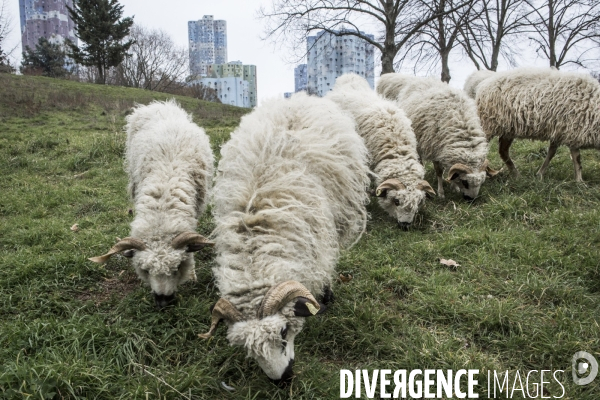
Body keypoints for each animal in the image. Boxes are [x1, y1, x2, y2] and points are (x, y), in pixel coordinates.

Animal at [472, 68, 600, 182]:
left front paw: (540, 174)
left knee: (503, 151)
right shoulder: (573, 130)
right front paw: (580, 181)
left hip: (508, 129)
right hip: (488, 125)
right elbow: (576, 158)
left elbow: (551, 153)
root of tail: (484, 83)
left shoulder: (559, 131)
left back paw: (515, 175)